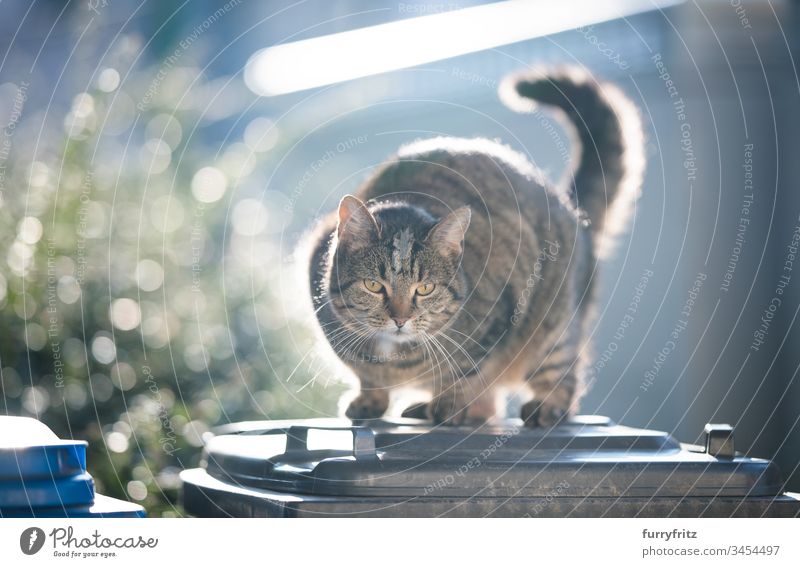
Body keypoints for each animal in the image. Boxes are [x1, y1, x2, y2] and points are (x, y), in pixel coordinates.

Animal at [304, 67, 644, 426]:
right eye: (373, 285)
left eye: (424, 288)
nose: (400, 319)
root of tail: (571, 208)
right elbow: (367, 376)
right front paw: (371, 401)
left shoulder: (499, 316)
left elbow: (463, 371)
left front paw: (449, 405)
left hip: (554, 327)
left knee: (561, 376)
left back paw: (543, 407)